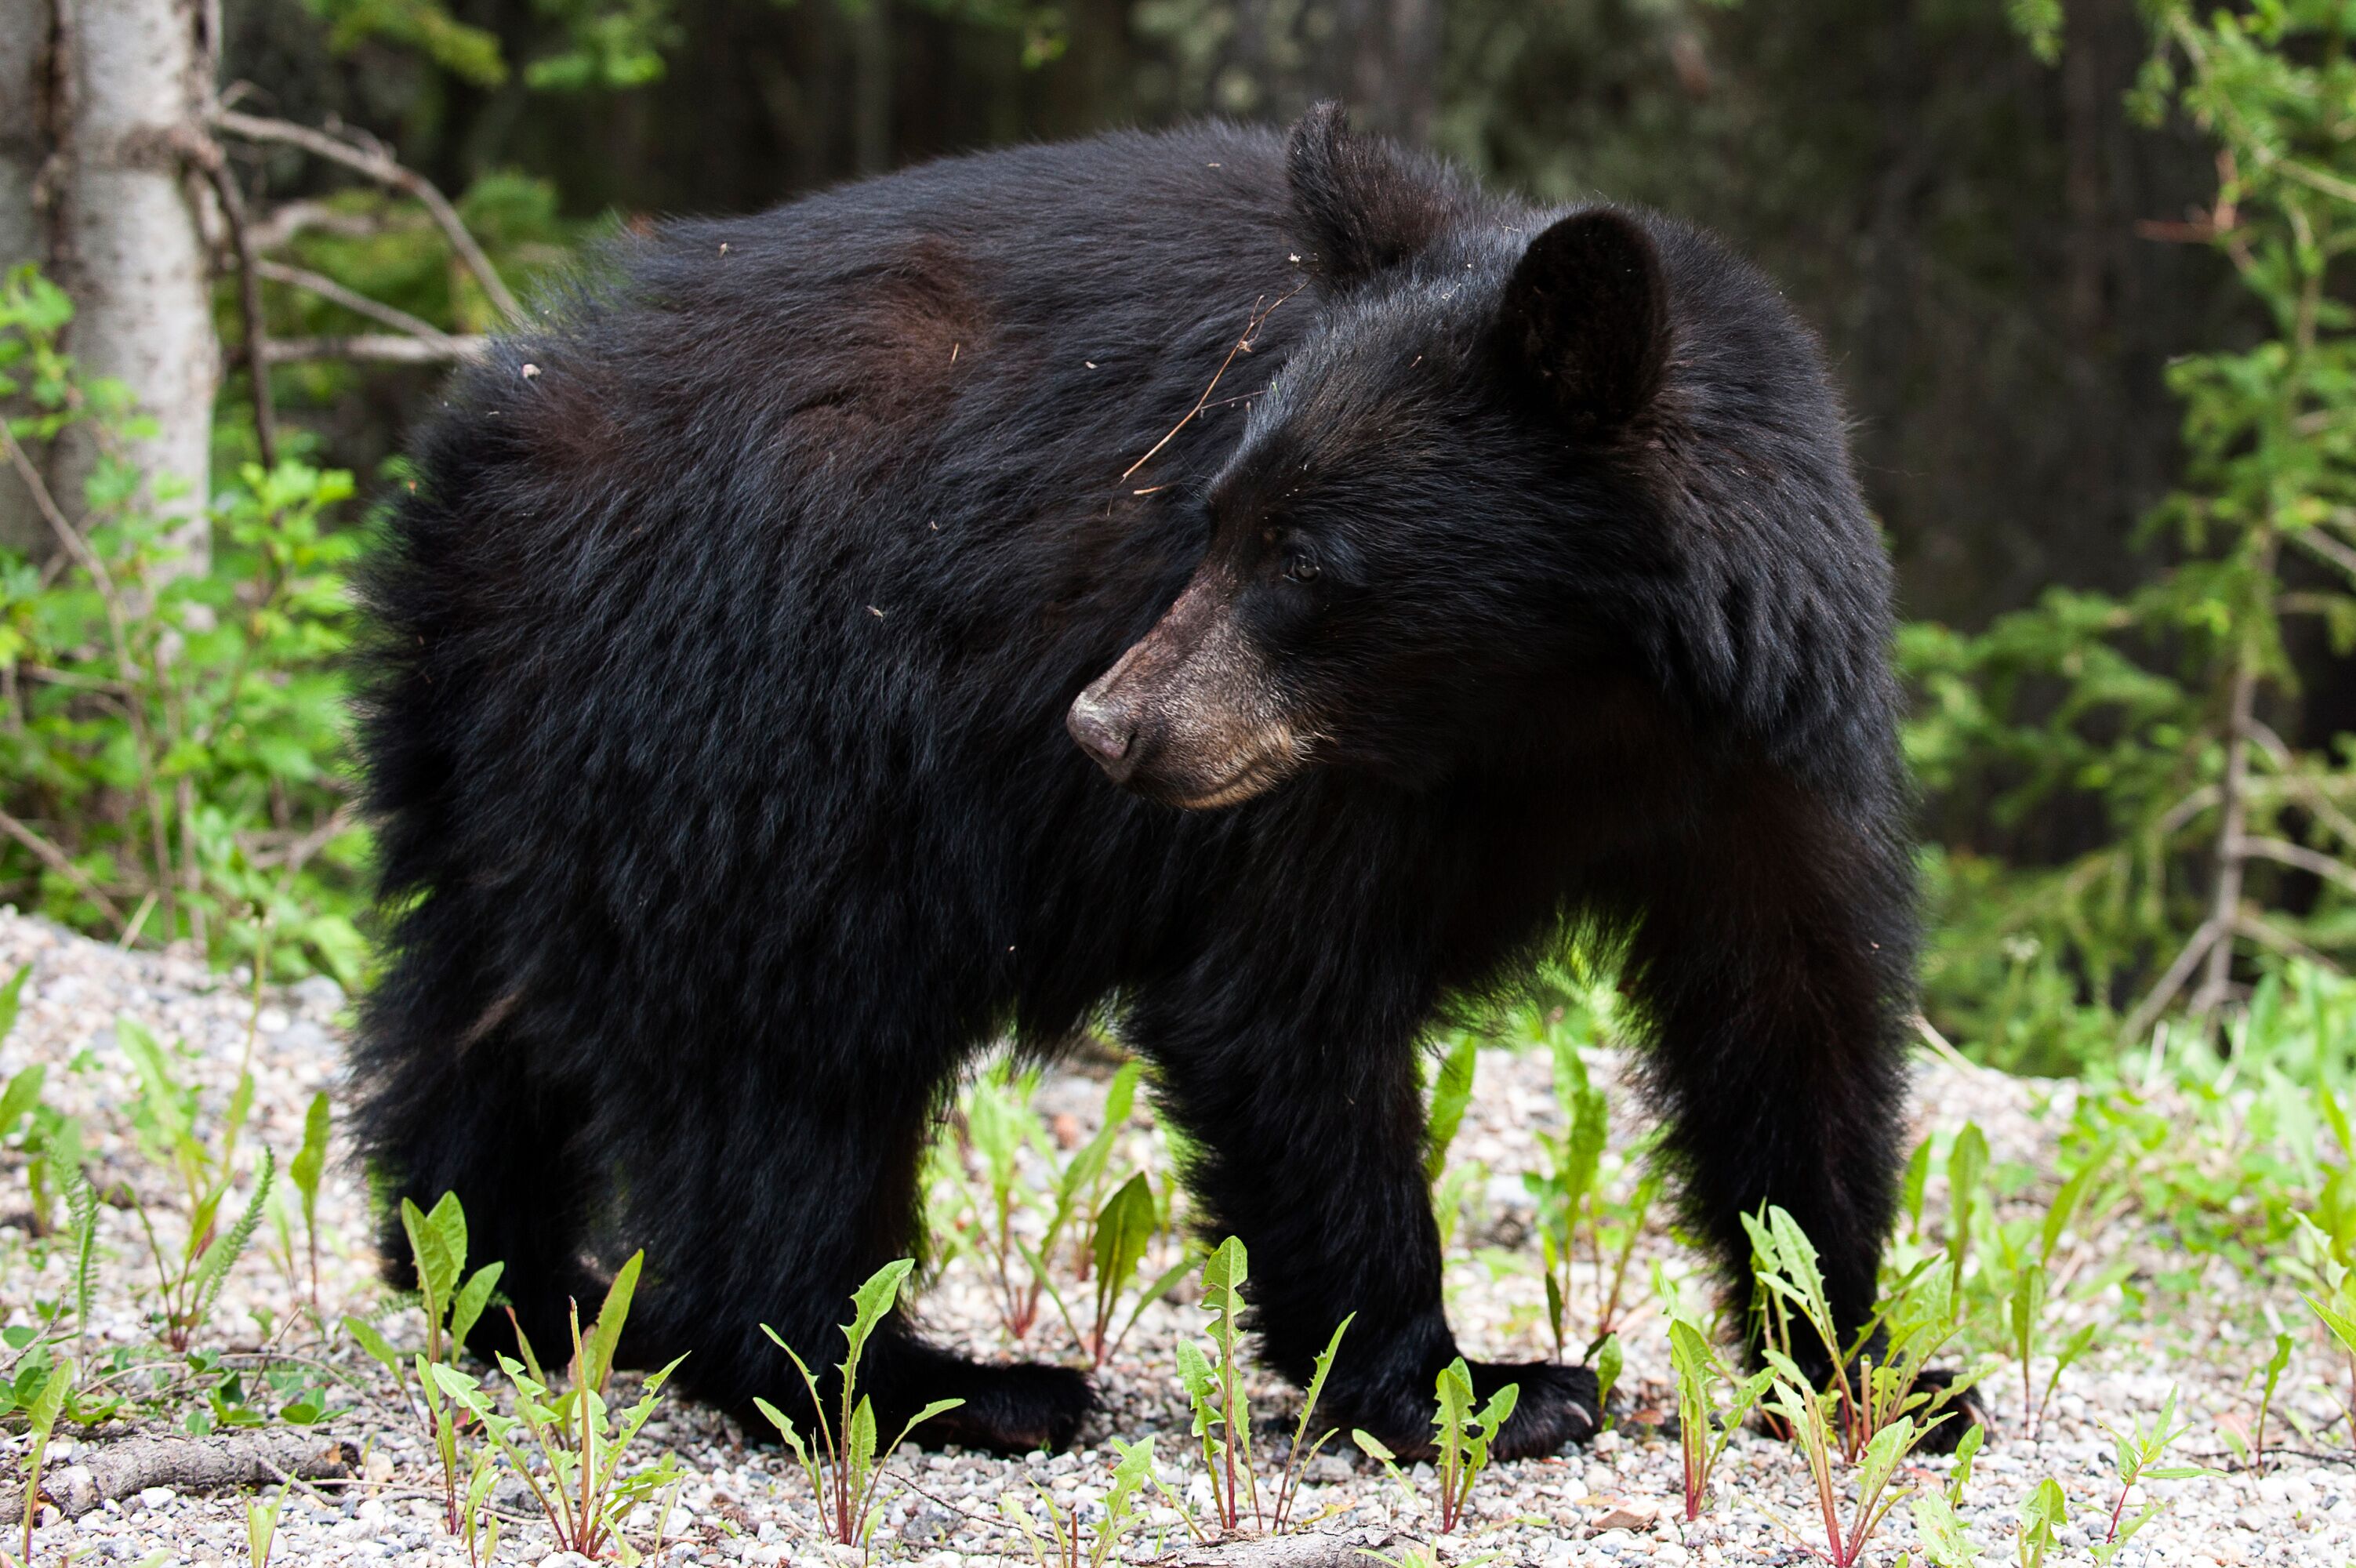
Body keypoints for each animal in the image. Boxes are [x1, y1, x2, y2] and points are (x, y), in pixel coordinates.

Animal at [358, 107, 1922, 1450]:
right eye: (1214, 520)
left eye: (1305, 561)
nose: (1106, 728)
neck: (1564, 712)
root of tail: (492, 440)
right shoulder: (1329, 794)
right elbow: (1278, 1006)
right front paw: (1464, 1384)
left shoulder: (1767, 750)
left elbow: (1793, 1018)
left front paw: (1863, 1367)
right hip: (755, 725)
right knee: (785, 1063)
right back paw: (914, 1379)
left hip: (522, 761)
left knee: (477, 1012)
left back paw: (508, 1284)